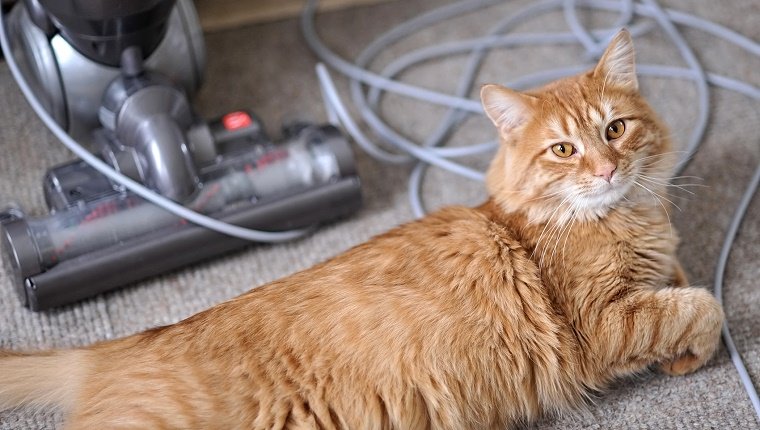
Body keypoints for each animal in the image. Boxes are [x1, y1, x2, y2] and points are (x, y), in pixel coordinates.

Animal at [0, 30, 724, 430]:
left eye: (615, 129)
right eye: (564, 151)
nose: (606, 168)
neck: (624, 218)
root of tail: (118, 347)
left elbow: (683, 280)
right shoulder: (598, 324)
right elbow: (701, 306)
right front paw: (694, 350)